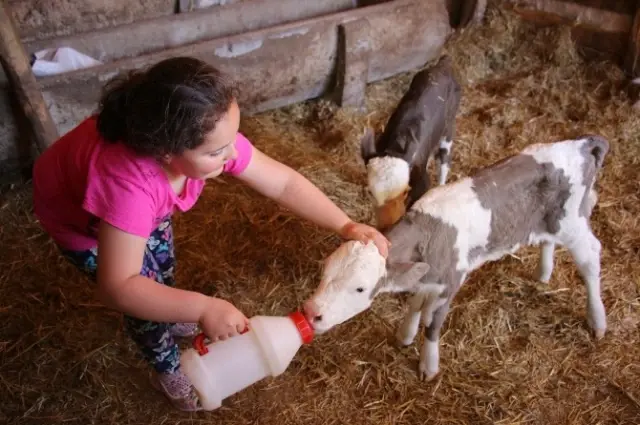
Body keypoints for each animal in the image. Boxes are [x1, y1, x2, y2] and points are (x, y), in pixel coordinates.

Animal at [304, 135, 608, 380]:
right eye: (324, 273)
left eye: (360, 288)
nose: (311, 312)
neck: (429, 233)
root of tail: (583, 143)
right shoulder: (428, 275)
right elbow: (415, 303)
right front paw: (405, 334)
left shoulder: (451, 281)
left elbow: (432, 323)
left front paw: (428, 366)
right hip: (549, 221)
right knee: (548, 240)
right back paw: (543, 273)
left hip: (574, 222)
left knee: (591, 258)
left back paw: (597, 320)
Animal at [360, 55, 460, 232]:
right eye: (371, 193)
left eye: (406, 192)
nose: (387, 227)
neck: (396, 147)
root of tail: (443, 64)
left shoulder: (422, 182)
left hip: (449, 128)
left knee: (444, 161)